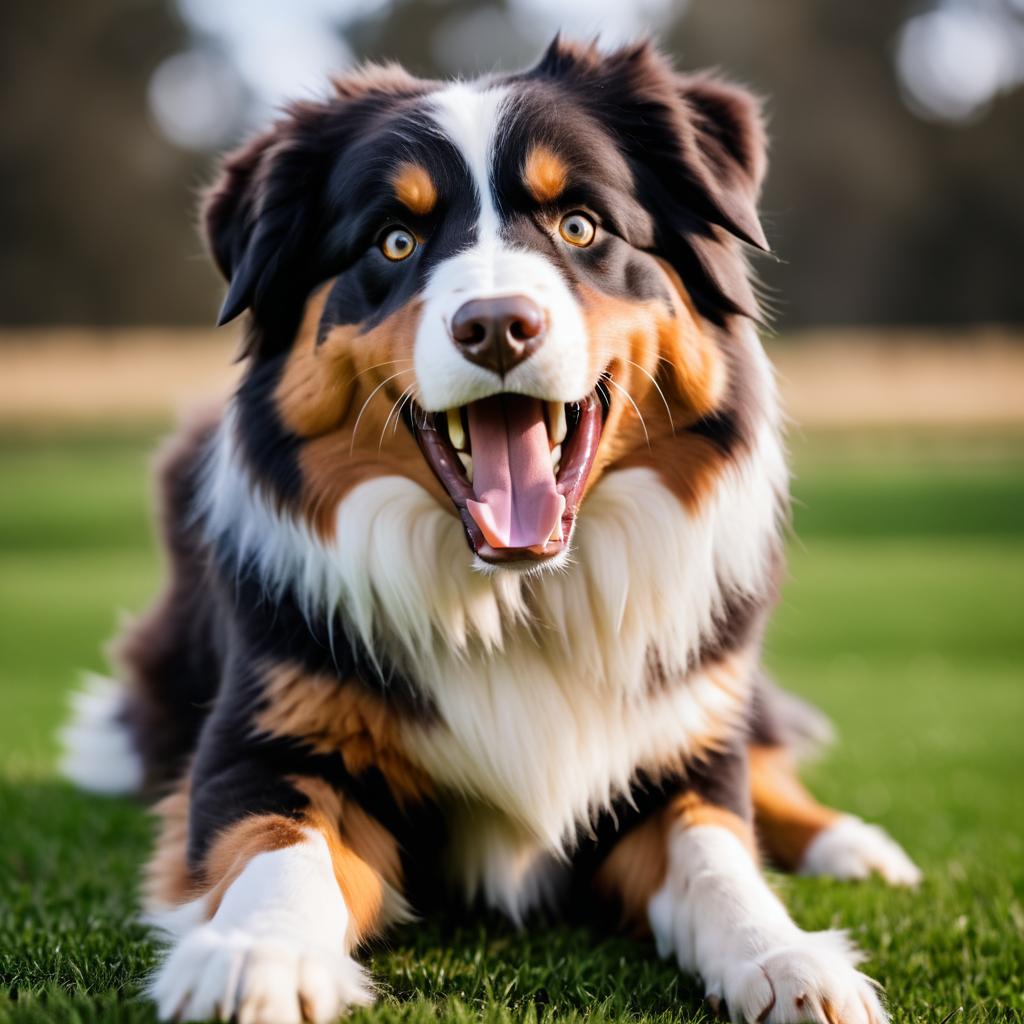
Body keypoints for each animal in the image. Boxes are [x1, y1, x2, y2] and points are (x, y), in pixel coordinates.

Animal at [59, 36, 925, 1019]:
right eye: (394, 241)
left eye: (581, 226)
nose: (498, 325)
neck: (517, 601)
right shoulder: (267, 741)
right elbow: (279, 848)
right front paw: (255, 955)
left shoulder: (680, 753)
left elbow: (721, 855)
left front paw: (789, 958)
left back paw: (853, 844)